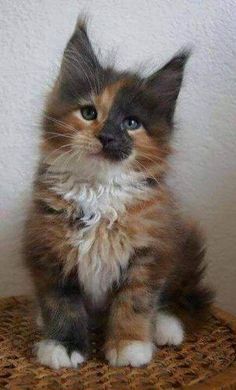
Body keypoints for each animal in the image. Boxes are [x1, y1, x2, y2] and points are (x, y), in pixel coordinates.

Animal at [24, 17, 214, 368]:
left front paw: (129, 345)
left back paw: (164, 327)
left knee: (183, 298)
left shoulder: (148, 251)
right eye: (88, 113)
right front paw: (63, 345)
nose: (108, 137)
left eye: (131, 123)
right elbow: (62, 304)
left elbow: (135, 302)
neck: (99, 192)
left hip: (180, 249)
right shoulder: (48, 250)